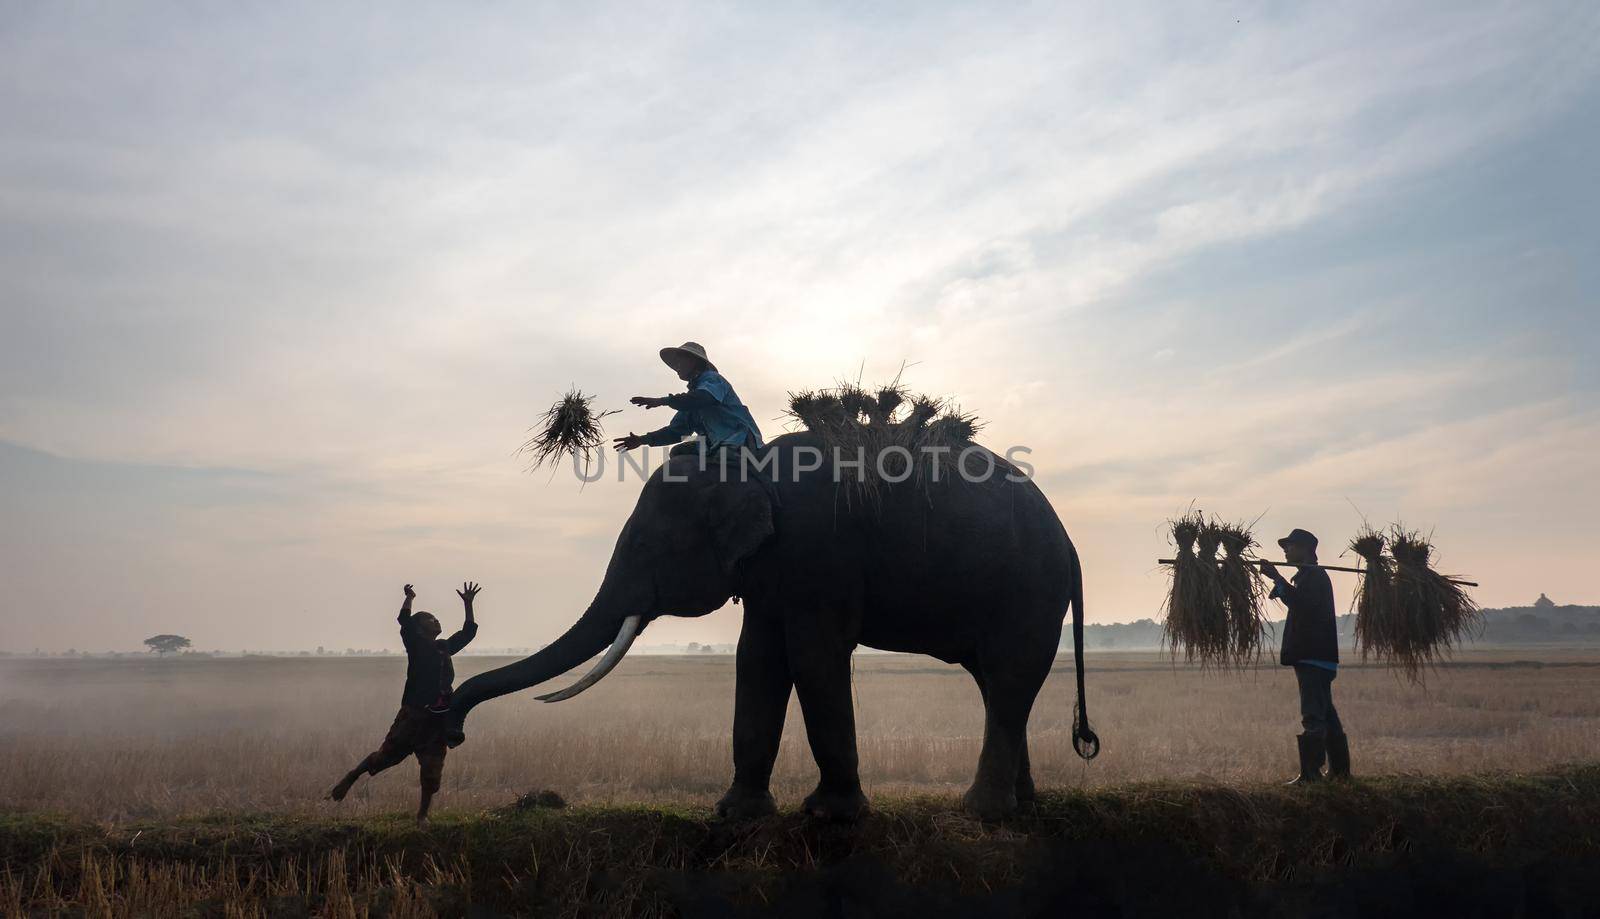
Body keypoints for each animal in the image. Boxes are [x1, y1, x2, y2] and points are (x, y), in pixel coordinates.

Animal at [451, 435, 1100, 826]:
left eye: (643, 547)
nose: (452, 730)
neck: (747, 468)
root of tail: (1071, 545)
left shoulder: (818, 553)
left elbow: (813, 656)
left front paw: (831, 815)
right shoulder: (770, 572)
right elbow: (757, 660)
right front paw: (736, 814)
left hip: (1028, 591)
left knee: (1008, 680)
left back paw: (981, 813)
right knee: (998, 686)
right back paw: (1019, 808)